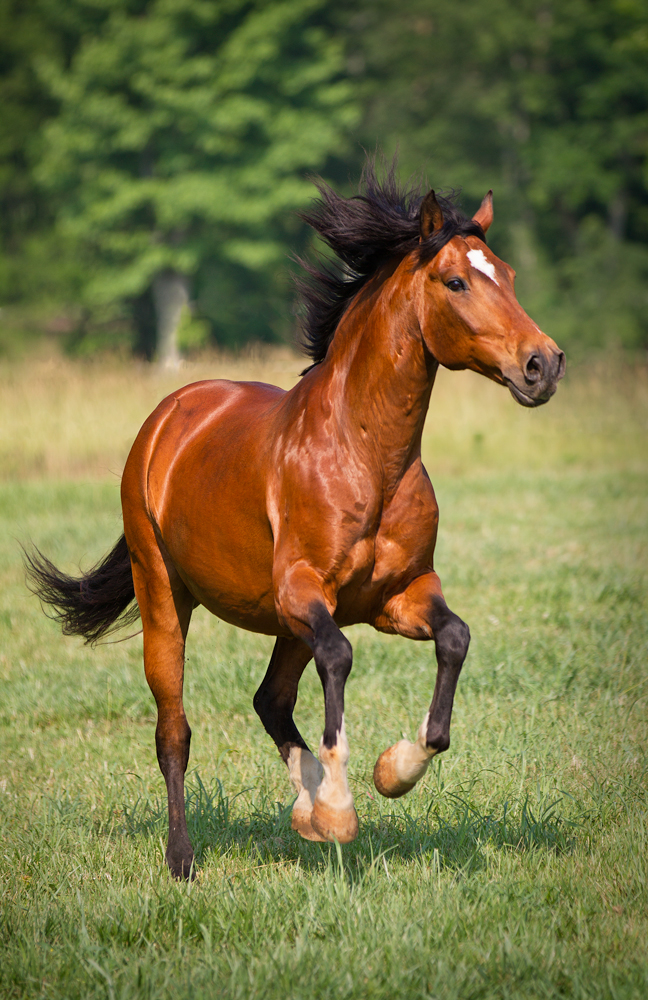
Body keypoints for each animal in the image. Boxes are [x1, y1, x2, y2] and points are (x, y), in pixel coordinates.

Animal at [26, 168, 560, 880]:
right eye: (456, 282)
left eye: (507, 274)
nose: (543, 364)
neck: (365, 456)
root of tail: (169, 415)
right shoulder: (304, 591)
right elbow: (341, 656)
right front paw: (337, 811)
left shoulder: (396, 595)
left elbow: (455, 639)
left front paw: (390, 773)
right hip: (167, 595)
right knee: (175, 731)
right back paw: (184, 857)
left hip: (284, 623)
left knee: (270, 699)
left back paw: (303, 808)